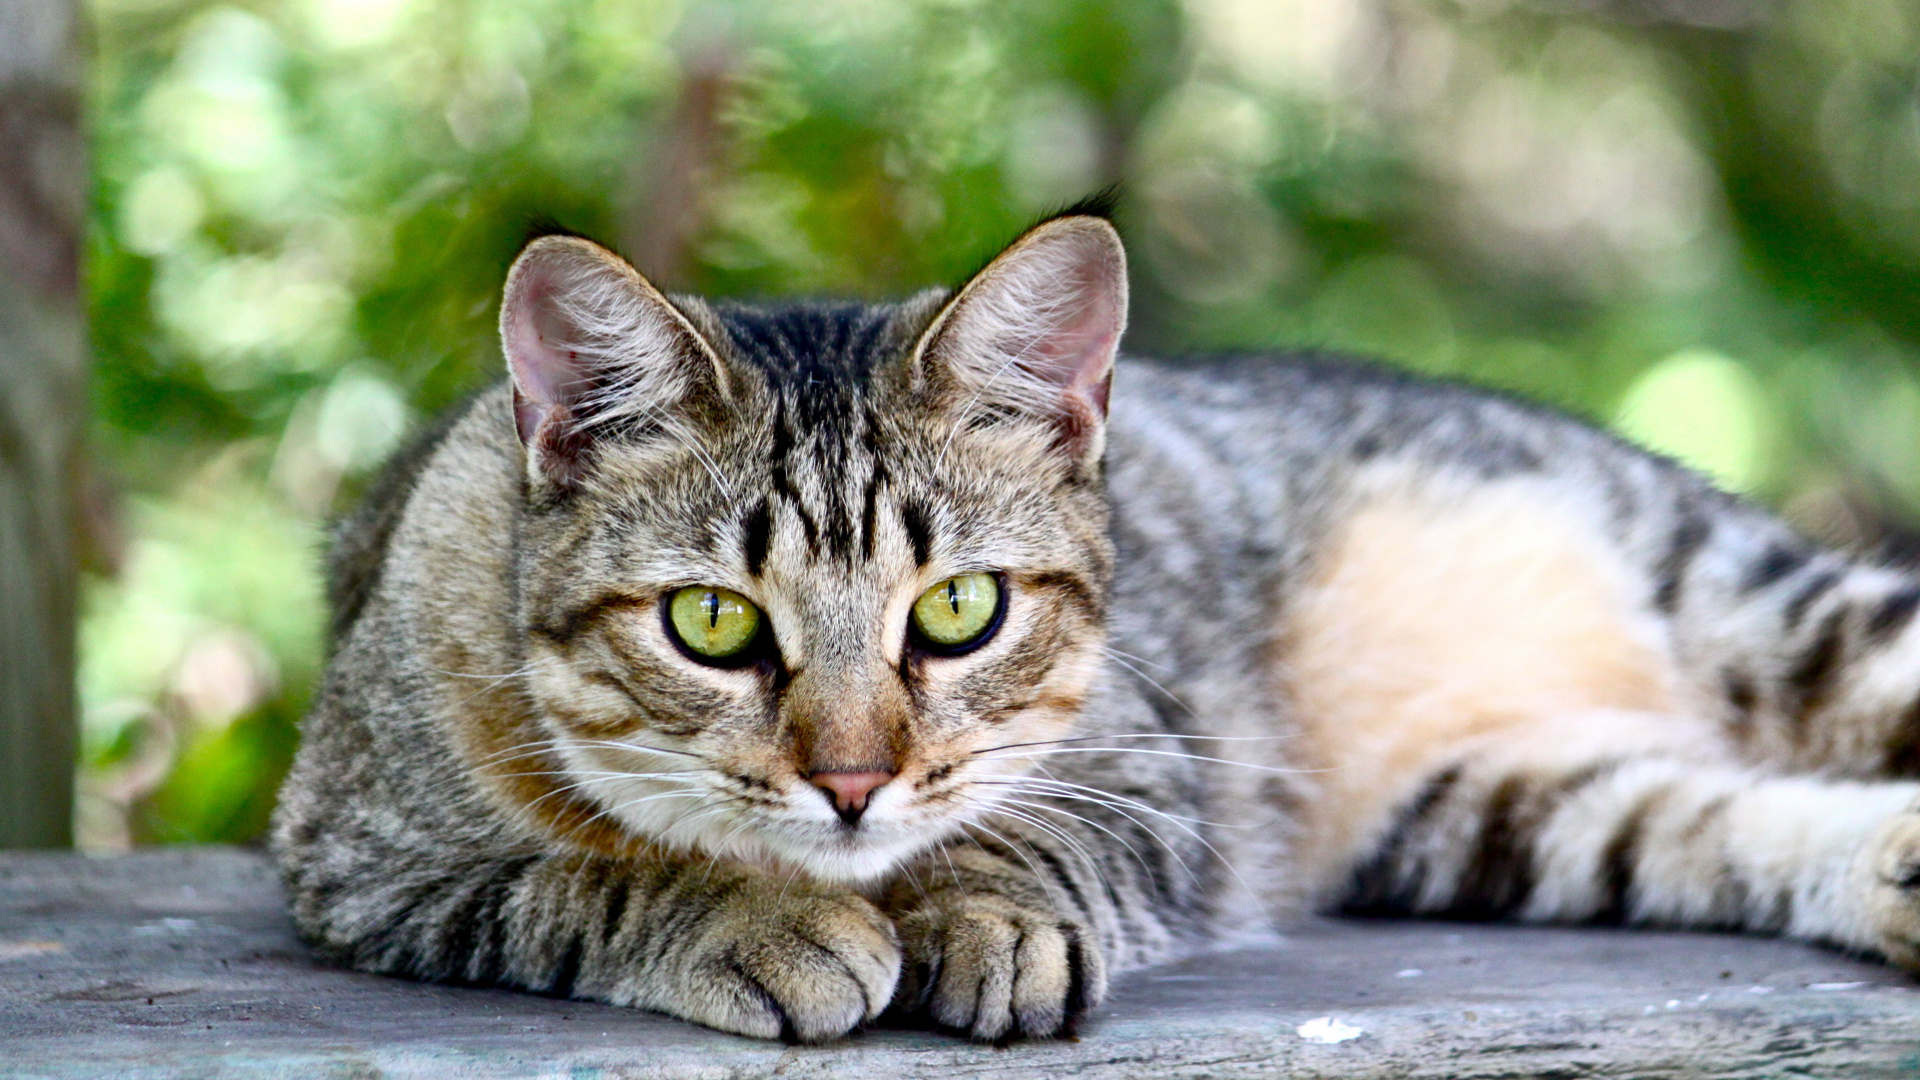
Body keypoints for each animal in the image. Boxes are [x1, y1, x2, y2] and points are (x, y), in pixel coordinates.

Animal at [270, 205, 1920, 1037]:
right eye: (713, 626)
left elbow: (1036, 834)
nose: (853, 782)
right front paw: (758, 919)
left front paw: (987, 913)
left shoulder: (1152, 758)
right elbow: (578, 881)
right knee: (1708, 814)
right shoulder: (363, 861)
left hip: (1758, 603)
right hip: (1501, 808)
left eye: (959, 608)